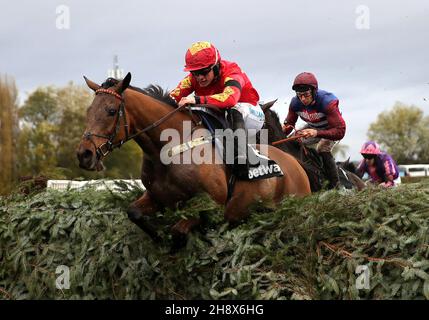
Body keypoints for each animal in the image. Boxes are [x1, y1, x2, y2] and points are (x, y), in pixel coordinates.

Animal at [76, 73, 310, 242]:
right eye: (88, 111)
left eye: (111, 111)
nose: (84, 154)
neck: (168, 149)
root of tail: (295, 164)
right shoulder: (156, 196)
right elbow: (133, 212)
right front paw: (158, 237)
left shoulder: (212, 204)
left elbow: (181, 229)